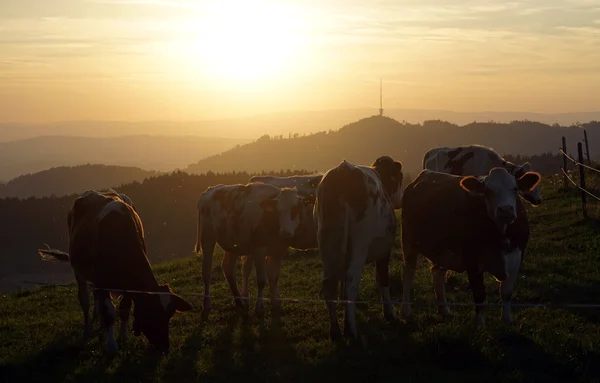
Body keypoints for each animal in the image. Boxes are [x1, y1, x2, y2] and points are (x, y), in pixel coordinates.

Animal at [37, 190, 191, 356]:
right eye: (150, 311)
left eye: (170, 314)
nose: (165, 347)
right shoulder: (102, 280)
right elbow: (110, 312)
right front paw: (111, 345)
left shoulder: (128, 286)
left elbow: (124, 309)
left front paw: (123, 337)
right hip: (79, 271)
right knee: (85, 300)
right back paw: (88, 330)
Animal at [195, 182, 302, 320]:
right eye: (278, 211)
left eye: (295, 209)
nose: (285, 233)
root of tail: (210, 190)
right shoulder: (259, 251)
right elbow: (261, 281)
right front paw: (259, 307)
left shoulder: (278, 252)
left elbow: (274, 278)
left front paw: (276, 303)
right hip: (208, 239)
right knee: (207, 272)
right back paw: (207, 303)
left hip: (232, 244)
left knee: (228, 268)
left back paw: (239, 301)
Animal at [314, 156, 404, 342]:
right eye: (400, 177)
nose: (400, 199)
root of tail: (342, 172)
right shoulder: (384, 250)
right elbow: (382, 279)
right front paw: (390, 313)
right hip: (359, 244)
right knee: (350, 280)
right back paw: (350, 330)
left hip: (328, 243)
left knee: (329, 283)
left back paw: (335, 331)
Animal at [400, 168, 540, 328]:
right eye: (487, 191)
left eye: (515, 188)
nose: (505, 210)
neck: (501, 234)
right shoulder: (472, 260)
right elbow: (479, 293)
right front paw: (480, 324)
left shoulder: (516, 258)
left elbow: (506, 292)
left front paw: (507, 320)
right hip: (409, 244)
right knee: (408, 275)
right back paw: (406, 311)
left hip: (443, 252)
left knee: (437, 274)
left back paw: (444, 310)